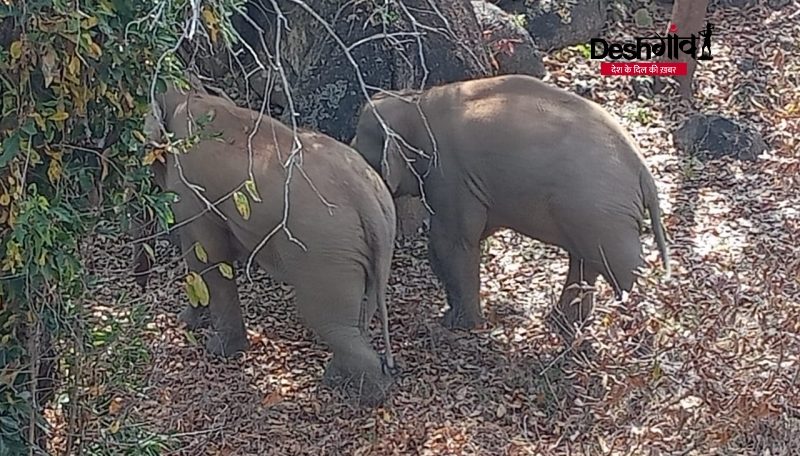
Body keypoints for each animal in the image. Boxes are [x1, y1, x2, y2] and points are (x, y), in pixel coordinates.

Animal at [144, 78, 400, 406]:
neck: (189, 94)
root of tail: (367, 199)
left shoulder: (192, 190)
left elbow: (207, 257)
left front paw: (214, 346)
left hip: (325, 251)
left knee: (327, 319)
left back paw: (361, 396)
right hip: (365, 249)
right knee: (355, 319)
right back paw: (341, 379)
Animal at [350, 74, 668, 338]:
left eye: (361, 141)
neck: (415, 103)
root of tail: (643, 172)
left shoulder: (449, 175)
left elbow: (451, 241)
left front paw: (458, 326)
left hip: (601, 210)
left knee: (621, 266)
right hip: (590, 211)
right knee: (585, 259)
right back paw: (562, 324)